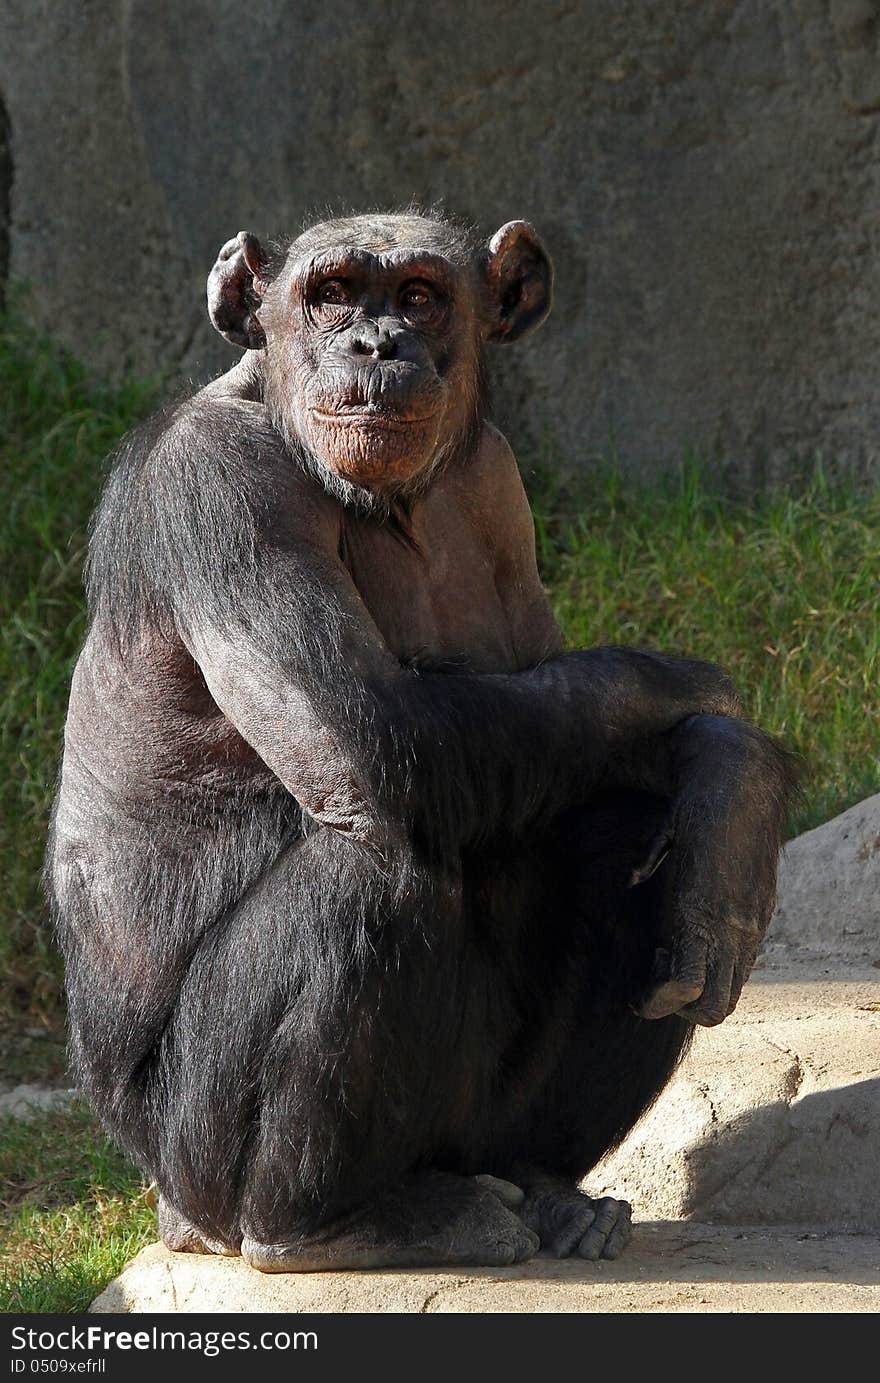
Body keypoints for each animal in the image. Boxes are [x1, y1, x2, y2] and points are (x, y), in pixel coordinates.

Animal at [46, 210, 791, 1266]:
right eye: (330, 294)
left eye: (421, 297)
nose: (375, 343)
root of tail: (166, 1209)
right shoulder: (221, 488)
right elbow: (368, 729)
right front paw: (716, 711)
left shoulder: (500, 483)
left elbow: (556, 708)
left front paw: (735, 794)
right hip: (191, 1163)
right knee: (371, 878)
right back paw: (329, 1226)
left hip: (466, 1126)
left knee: (631, 833)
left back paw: (546, 1187)